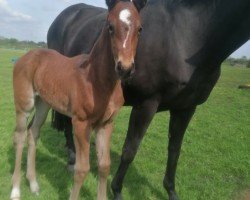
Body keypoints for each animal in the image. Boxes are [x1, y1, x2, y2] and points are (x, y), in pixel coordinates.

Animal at [10, 0, 146, 199]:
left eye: (140, 28)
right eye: (110, 26)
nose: (125, 68)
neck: (96, 79)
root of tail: (28, 55)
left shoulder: (105, 124)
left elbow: (104, 165)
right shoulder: (81, 123)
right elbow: (81, 169)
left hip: (43, 104)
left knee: (32, 133)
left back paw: (34, 184)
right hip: (24, 105)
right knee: (19, 137)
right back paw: (15, 190)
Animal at [47, 0, 250, 200]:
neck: (187, 34)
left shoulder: (186, 108)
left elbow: (174, 150)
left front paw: (170, 190)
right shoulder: (146, 104)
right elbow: (130, 150)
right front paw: (117, 190)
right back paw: (72, 157)